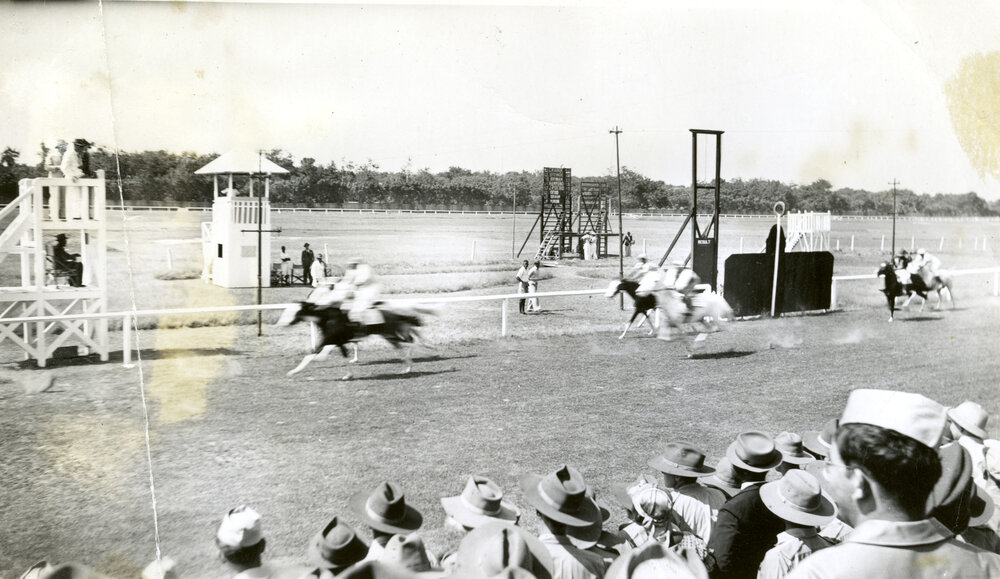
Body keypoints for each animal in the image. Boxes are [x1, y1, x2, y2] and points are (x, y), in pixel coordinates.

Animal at [276, 300, 436, 380]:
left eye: (296, 311)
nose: (282, 324)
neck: (327, 318)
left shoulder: (329, 341)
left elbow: (312, 356)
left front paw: (292, 372)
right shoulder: (338, 342)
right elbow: (343, 356)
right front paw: (348, 375)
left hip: (390, 333)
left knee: (411, 341)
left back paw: (416, 358)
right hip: (389, 335)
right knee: (405, 343)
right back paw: (406, 367)